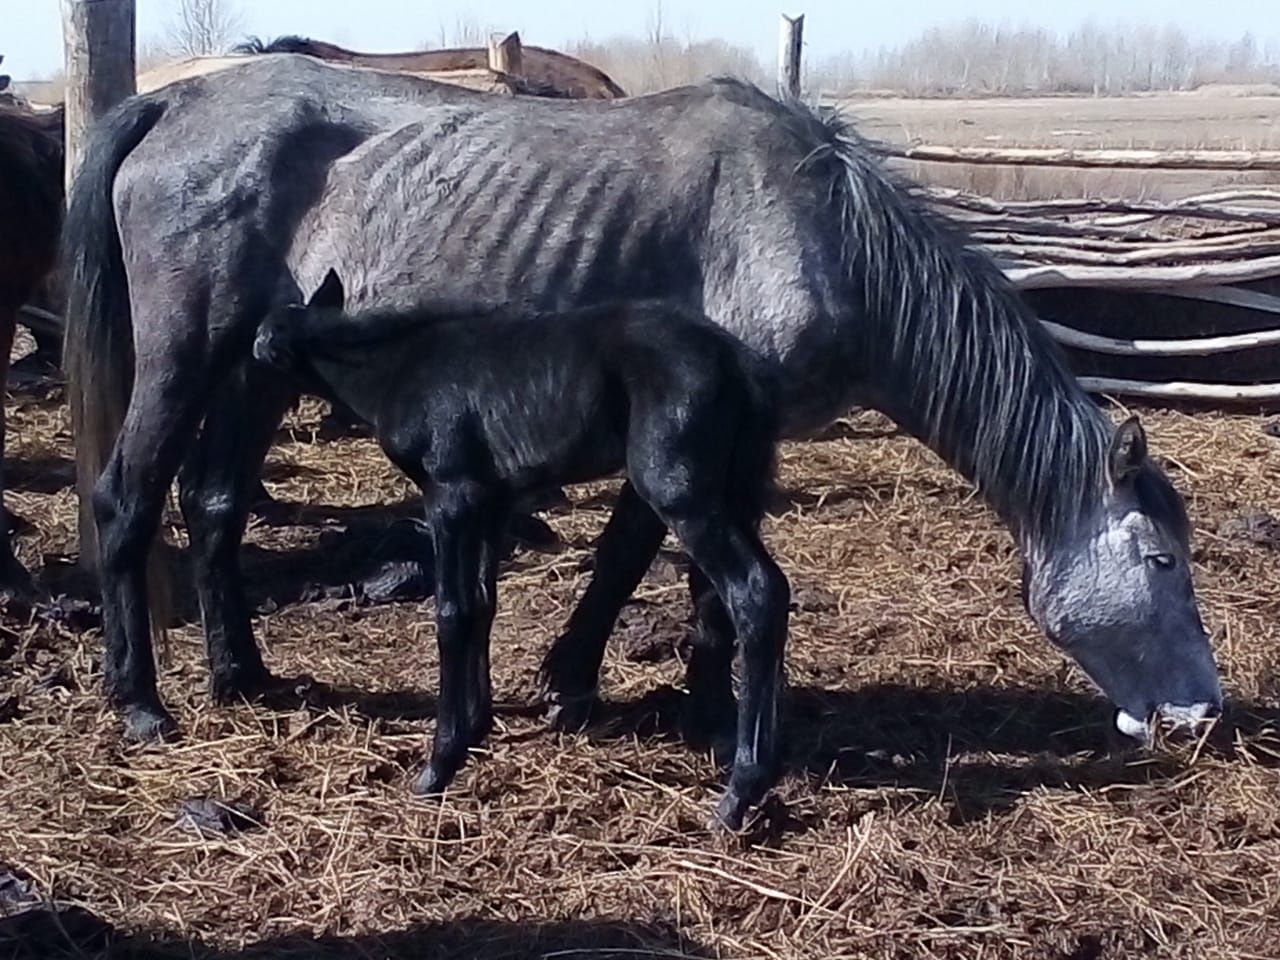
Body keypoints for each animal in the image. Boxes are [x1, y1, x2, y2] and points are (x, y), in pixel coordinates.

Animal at [252, 268, 788, 829]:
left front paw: (439, 763)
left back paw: (740, 792)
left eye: (262, 348)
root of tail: (741, 367)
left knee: (754, 590)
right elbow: (482, 605)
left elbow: (452, 613)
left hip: (682, 494)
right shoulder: (491, 504)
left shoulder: (451, 495)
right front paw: (475, 727)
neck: (395, 368)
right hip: (740, 488)